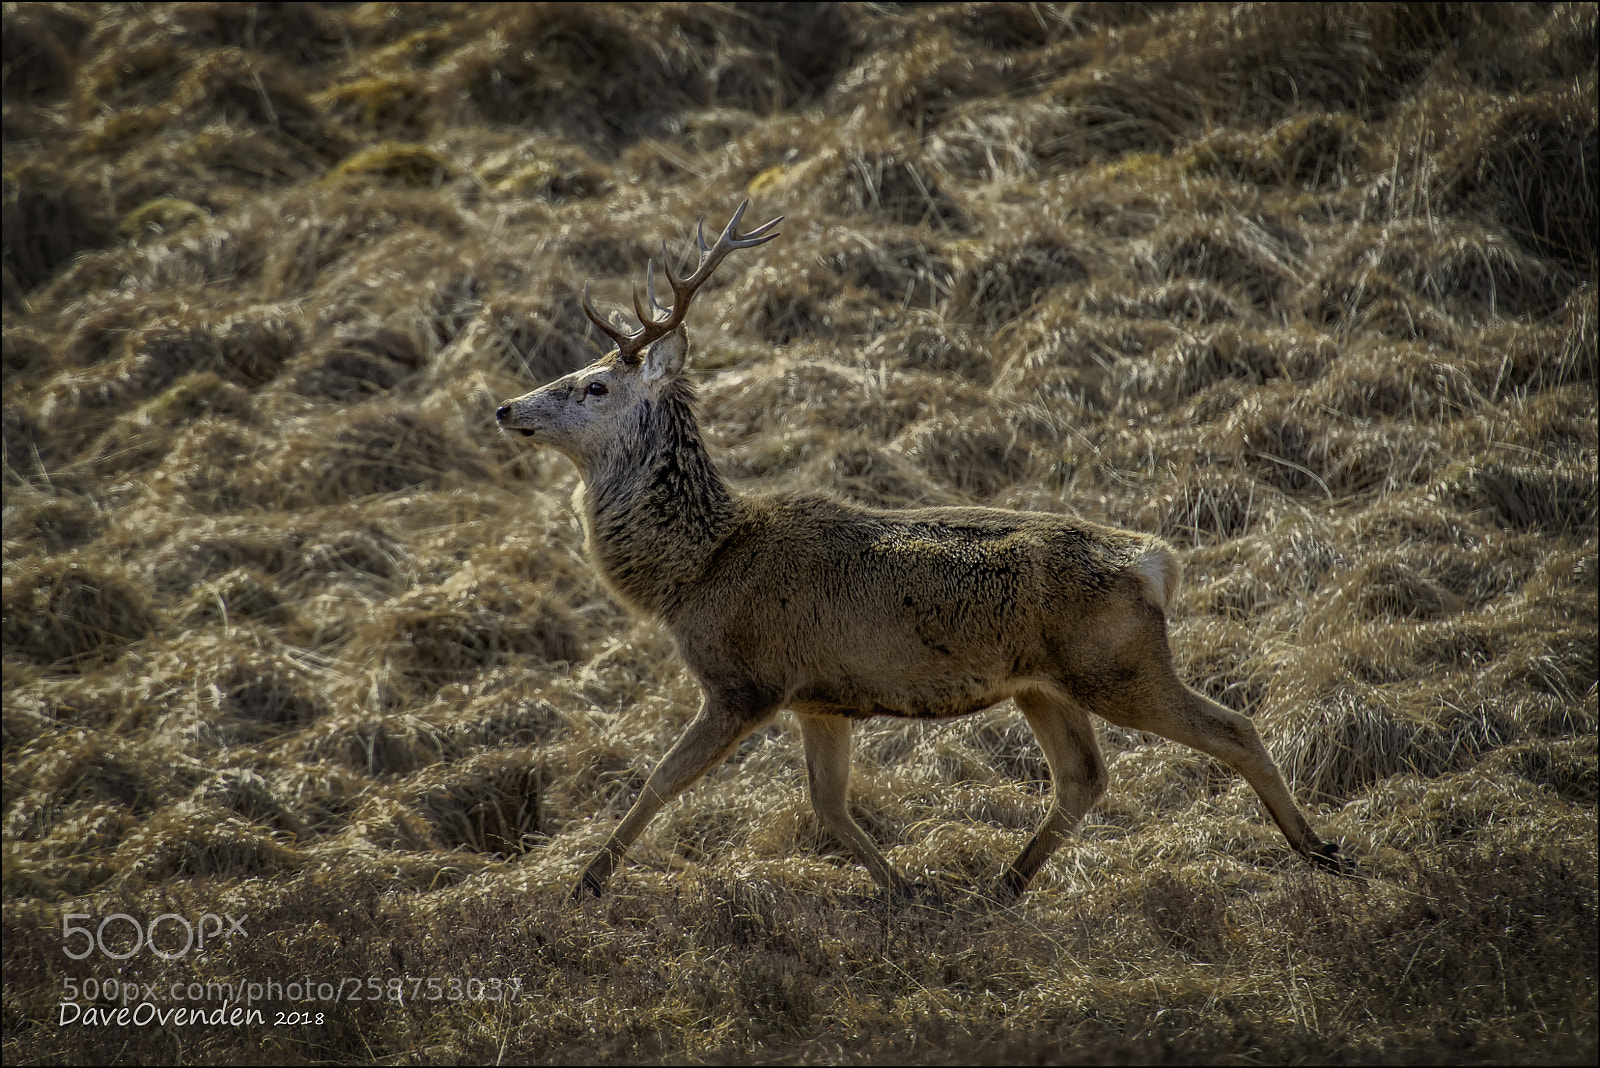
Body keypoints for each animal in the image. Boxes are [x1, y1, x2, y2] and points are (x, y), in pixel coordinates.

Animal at [495, 202, 1348, 901]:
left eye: (595, 386)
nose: (506, 407)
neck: (696, 569)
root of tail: (1156, 563)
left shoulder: (745, 680)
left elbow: (659, 784)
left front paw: (583, 885)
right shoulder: (819, 697)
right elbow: (829, 808)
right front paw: (902, 887)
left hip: (1117, 661)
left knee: (1233, 728)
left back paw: (1320, 849)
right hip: (1042, 683)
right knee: (1082, 778)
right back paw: (1001, 884)